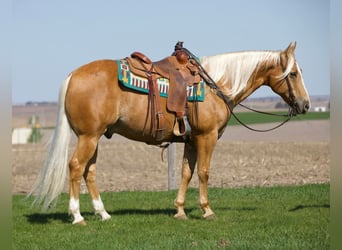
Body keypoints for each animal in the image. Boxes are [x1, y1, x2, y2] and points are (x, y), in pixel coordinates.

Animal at [29, 41, 310, 225]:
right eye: (294, 74)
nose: (305, 105)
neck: (217, 85)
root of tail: (73, 75)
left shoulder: (191, 139)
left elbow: (186, 172)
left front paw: (180, 210)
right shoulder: (206, 137)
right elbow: (204, 172)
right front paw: (206, 210)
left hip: (94, 137)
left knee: (90, 172)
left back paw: (103, 213)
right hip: (88, 137)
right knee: (76, 167)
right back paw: (77, 216)